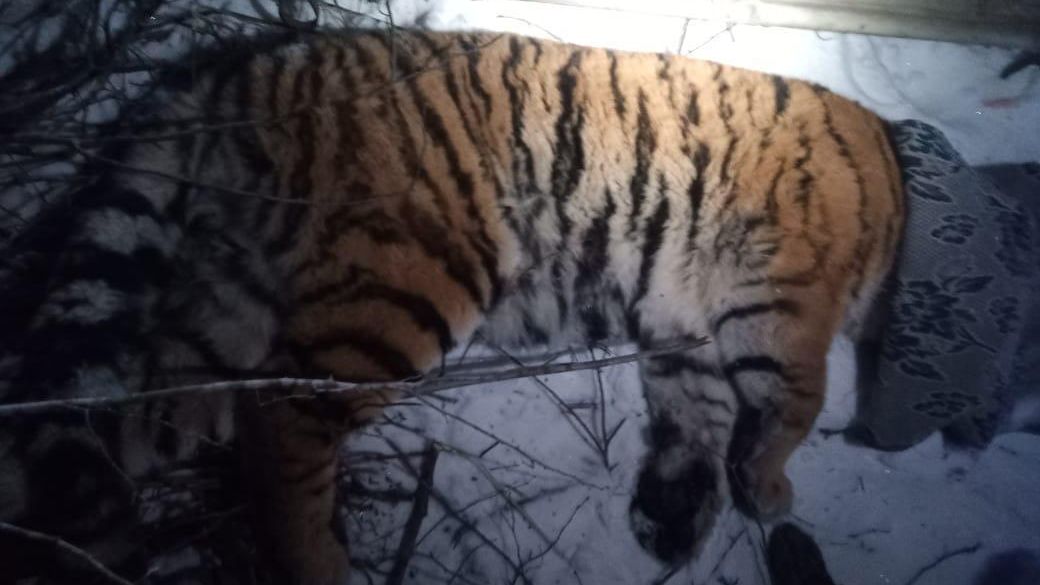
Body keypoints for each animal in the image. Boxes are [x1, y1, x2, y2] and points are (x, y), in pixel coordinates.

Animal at [0, 27, 904, 585]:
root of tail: (247, 70)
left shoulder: (685, 326)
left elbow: (699, 415)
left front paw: (675, 515)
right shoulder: (785, 294)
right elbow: (796, 397)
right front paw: (771, 489)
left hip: (227, 311)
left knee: (113, 428)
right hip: (409, 281)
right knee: (282, 417)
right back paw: (318, 563)